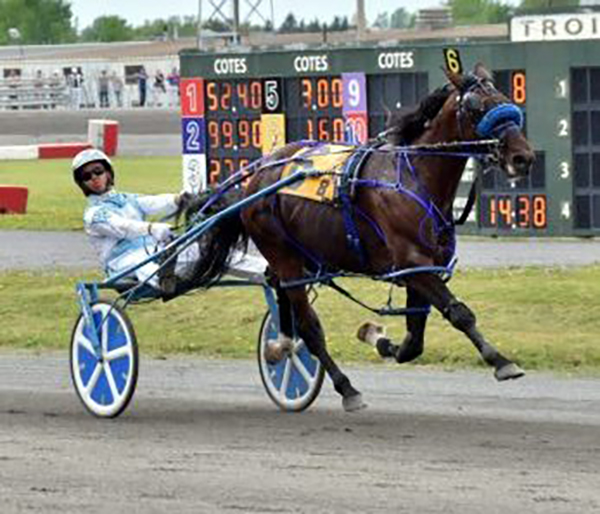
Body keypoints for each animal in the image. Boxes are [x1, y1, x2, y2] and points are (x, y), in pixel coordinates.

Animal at [188, 63, 535, 412]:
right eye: (477, 107)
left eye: (507, 100)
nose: (523, 157)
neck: (413, 177)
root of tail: (255, 178)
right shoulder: (413, 263)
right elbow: (460, 314)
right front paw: (502, 362)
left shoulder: (423, 269)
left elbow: (414, 342)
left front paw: (376, 337)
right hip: (283, 255)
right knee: (308, 327)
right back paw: (345, 388)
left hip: (299, 255)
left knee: (278, 288)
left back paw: (281, 345)